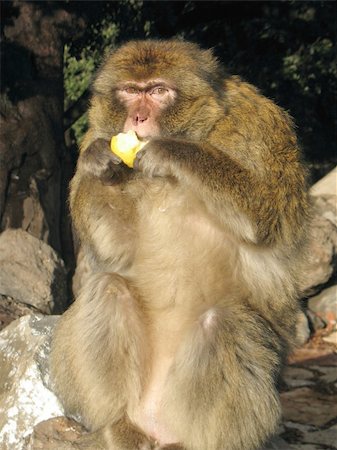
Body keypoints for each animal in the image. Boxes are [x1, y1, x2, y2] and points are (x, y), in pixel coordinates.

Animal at [48, 39, 308, 450]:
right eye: (130, 91)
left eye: (158, 91)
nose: (137, 118)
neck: (198, 129)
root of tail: (156, 421)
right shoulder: (94, 131)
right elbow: (115, 247)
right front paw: (97, 161)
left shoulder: (262, 126)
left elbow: (270, 218)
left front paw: (173, 152)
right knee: (108, 288)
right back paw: (117, 423)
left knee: (224, 323)